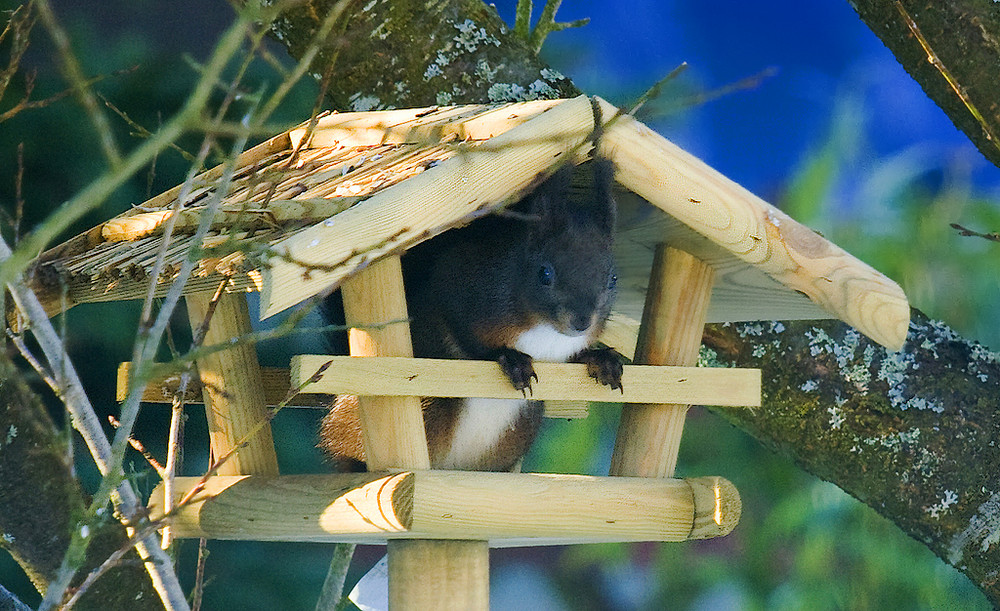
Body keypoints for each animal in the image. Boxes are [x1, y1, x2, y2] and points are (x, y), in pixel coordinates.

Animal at [318, 157, 624, 474]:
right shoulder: (461, 285)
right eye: (545, 273)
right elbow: (462, 332)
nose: (581, 322)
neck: (546, 331)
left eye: (613, 279)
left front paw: (602, 359)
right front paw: (510, 360)